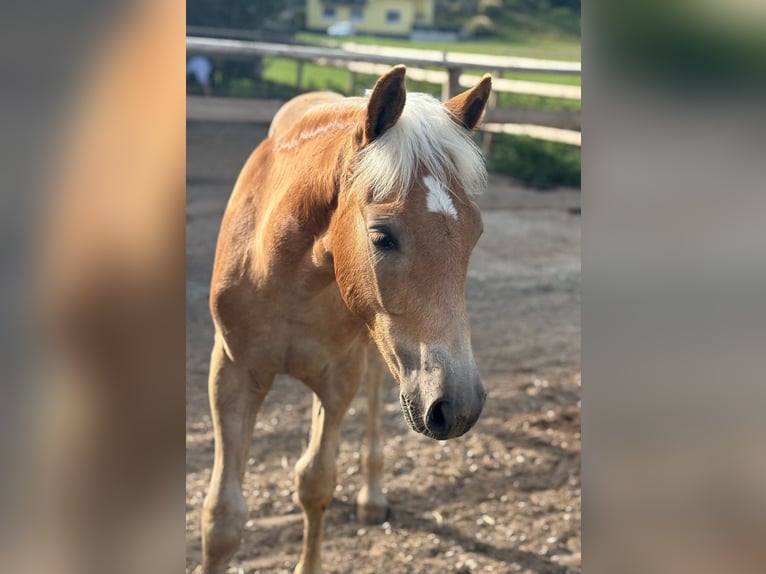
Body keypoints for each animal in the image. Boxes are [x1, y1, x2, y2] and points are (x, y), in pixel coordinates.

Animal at [202, 65, 492, 574]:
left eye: (474, 234)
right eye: (381, 236)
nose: (459, 407)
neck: (286, 274)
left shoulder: (339, 379)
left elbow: (316, 481)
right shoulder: (231, 374)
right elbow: (223, 517)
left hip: (381, 357)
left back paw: (372, 497)